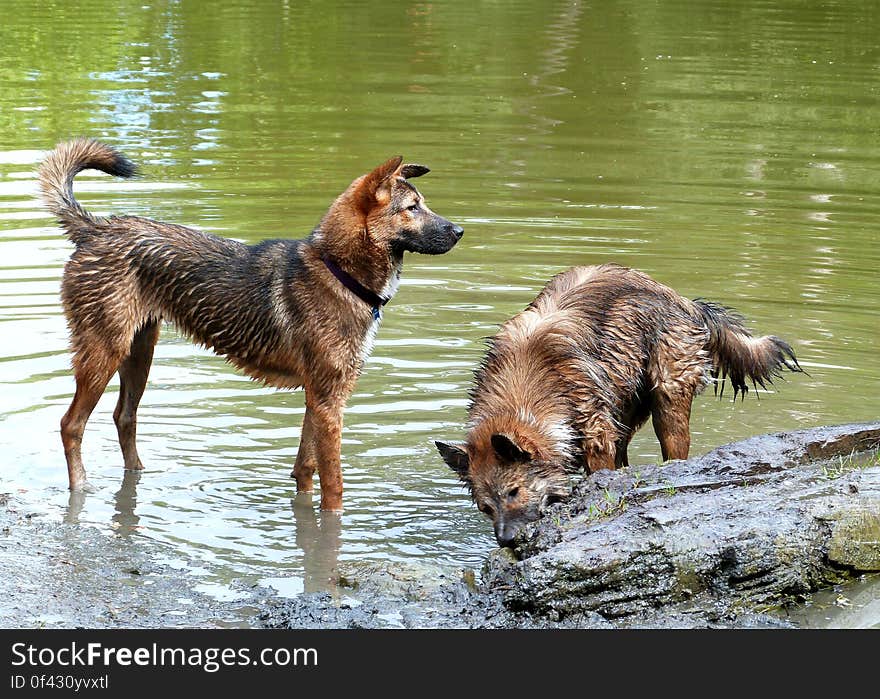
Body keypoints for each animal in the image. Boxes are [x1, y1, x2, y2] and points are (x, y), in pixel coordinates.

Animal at [39, 138, 468, 508]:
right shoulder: (329, 400)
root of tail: (95, 228)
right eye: (412, 207)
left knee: (124, 417)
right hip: (103, 352)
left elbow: (305, 468)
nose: (460, 231)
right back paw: (81, 488)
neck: (338, 271)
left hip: (139, 351)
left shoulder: (319, 397)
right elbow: (334, 485)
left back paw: (139, 476)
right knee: (70, 424)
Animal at [436, 264, 800, 548]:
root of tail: (683, 301)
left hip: (666, 399)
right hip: (625, 408)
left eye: (513, 492)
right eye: (485, 507)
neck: (527, 386)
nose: (505, 540)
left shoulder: (595, 432)